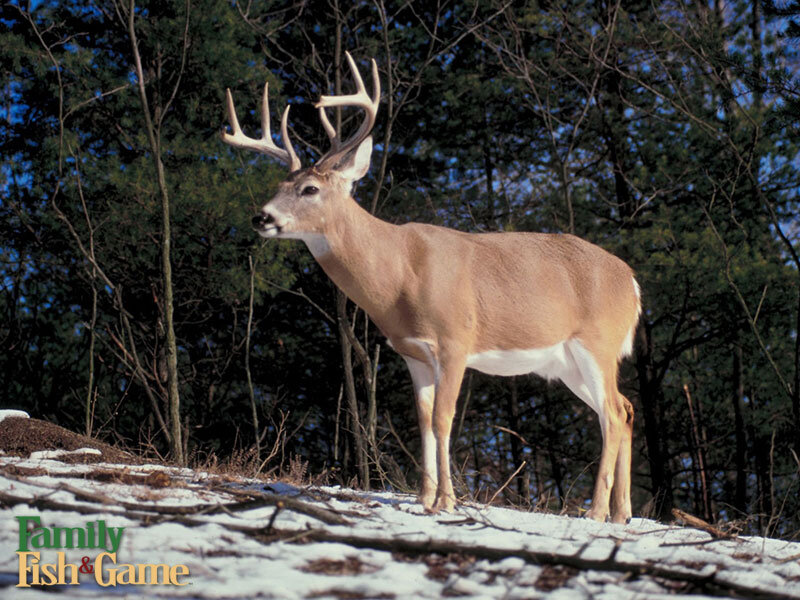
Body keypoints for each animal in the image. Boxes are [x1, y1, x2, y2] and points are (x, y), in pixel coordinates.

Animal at [221, 52, 641, 524]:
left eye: (310, 188)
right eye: (277, 186)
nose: (261, 217)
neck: (399, 275)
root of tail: (631, 281)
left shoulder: (456, 340)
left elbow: (443, 419)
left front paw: (447, 501)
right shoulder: (412, 351)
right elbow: (423, 420)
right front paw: (424, 499)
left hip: (597, 343)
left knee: (612, 414)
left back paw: (597, 512)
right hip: (566, 362)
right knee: (624, 409)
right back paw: (623, 513)